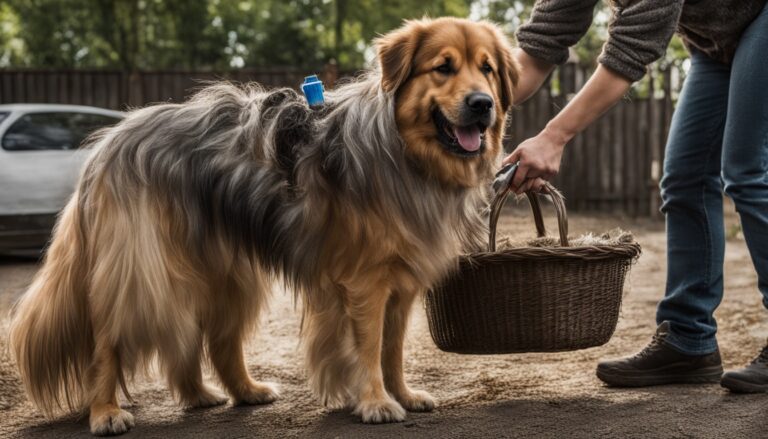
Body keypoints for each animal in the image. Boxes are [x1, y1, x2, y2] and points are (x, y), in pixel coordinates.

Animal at [7, 18, 516, 436]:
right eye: (443, 68)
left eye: (487, 69)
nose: (482, 104)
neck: (403, 151)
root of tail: (106, 145)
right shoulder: (365, 282)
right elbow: (369, 347)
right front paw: (375, 402)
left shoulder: (402, 285)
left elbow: (393, 348)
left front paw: (403, 394)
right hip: (142, 274)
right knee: (108, 343)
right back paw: (105, 411)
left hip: (220, 275)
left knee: (209, 340)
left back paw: (221, 393)